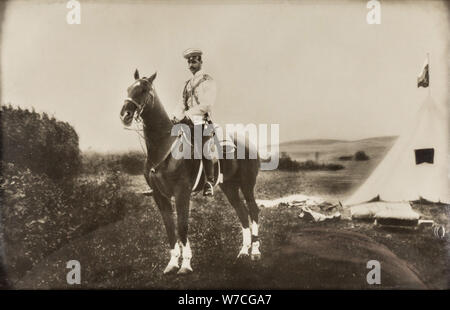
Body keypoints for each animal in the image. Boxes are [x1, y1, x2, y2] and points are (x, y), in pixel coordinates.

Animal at [120, 70, 260, 274]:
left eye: (144, 89)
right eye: (129, 88)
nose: (125, 114)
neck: (164, 147)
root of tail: (249, 143)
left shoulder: (181, 193)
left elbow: (182, 226)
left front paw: (186, 264)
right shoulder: (159, 196)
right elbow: (170, 229)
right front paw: (172, 263)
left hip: (247, 185)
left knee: (253, 210)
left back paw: (255, 252)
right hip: (229, 187)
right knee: (241, 212)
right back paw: (243, 252)